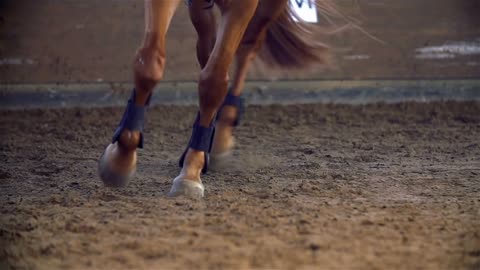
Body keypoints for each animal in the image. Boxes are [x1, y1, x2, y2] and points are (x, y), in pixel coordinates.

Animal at [98, 0, 338, 198]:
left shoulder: (243, 6)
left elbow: (213, 82)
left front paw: (191, 172)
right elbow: (149, 63)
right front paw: (120, 160)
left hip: (268, 8)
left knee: (248, 46)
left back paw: (220, 136)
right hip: (200, 10)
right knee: (208, 44)